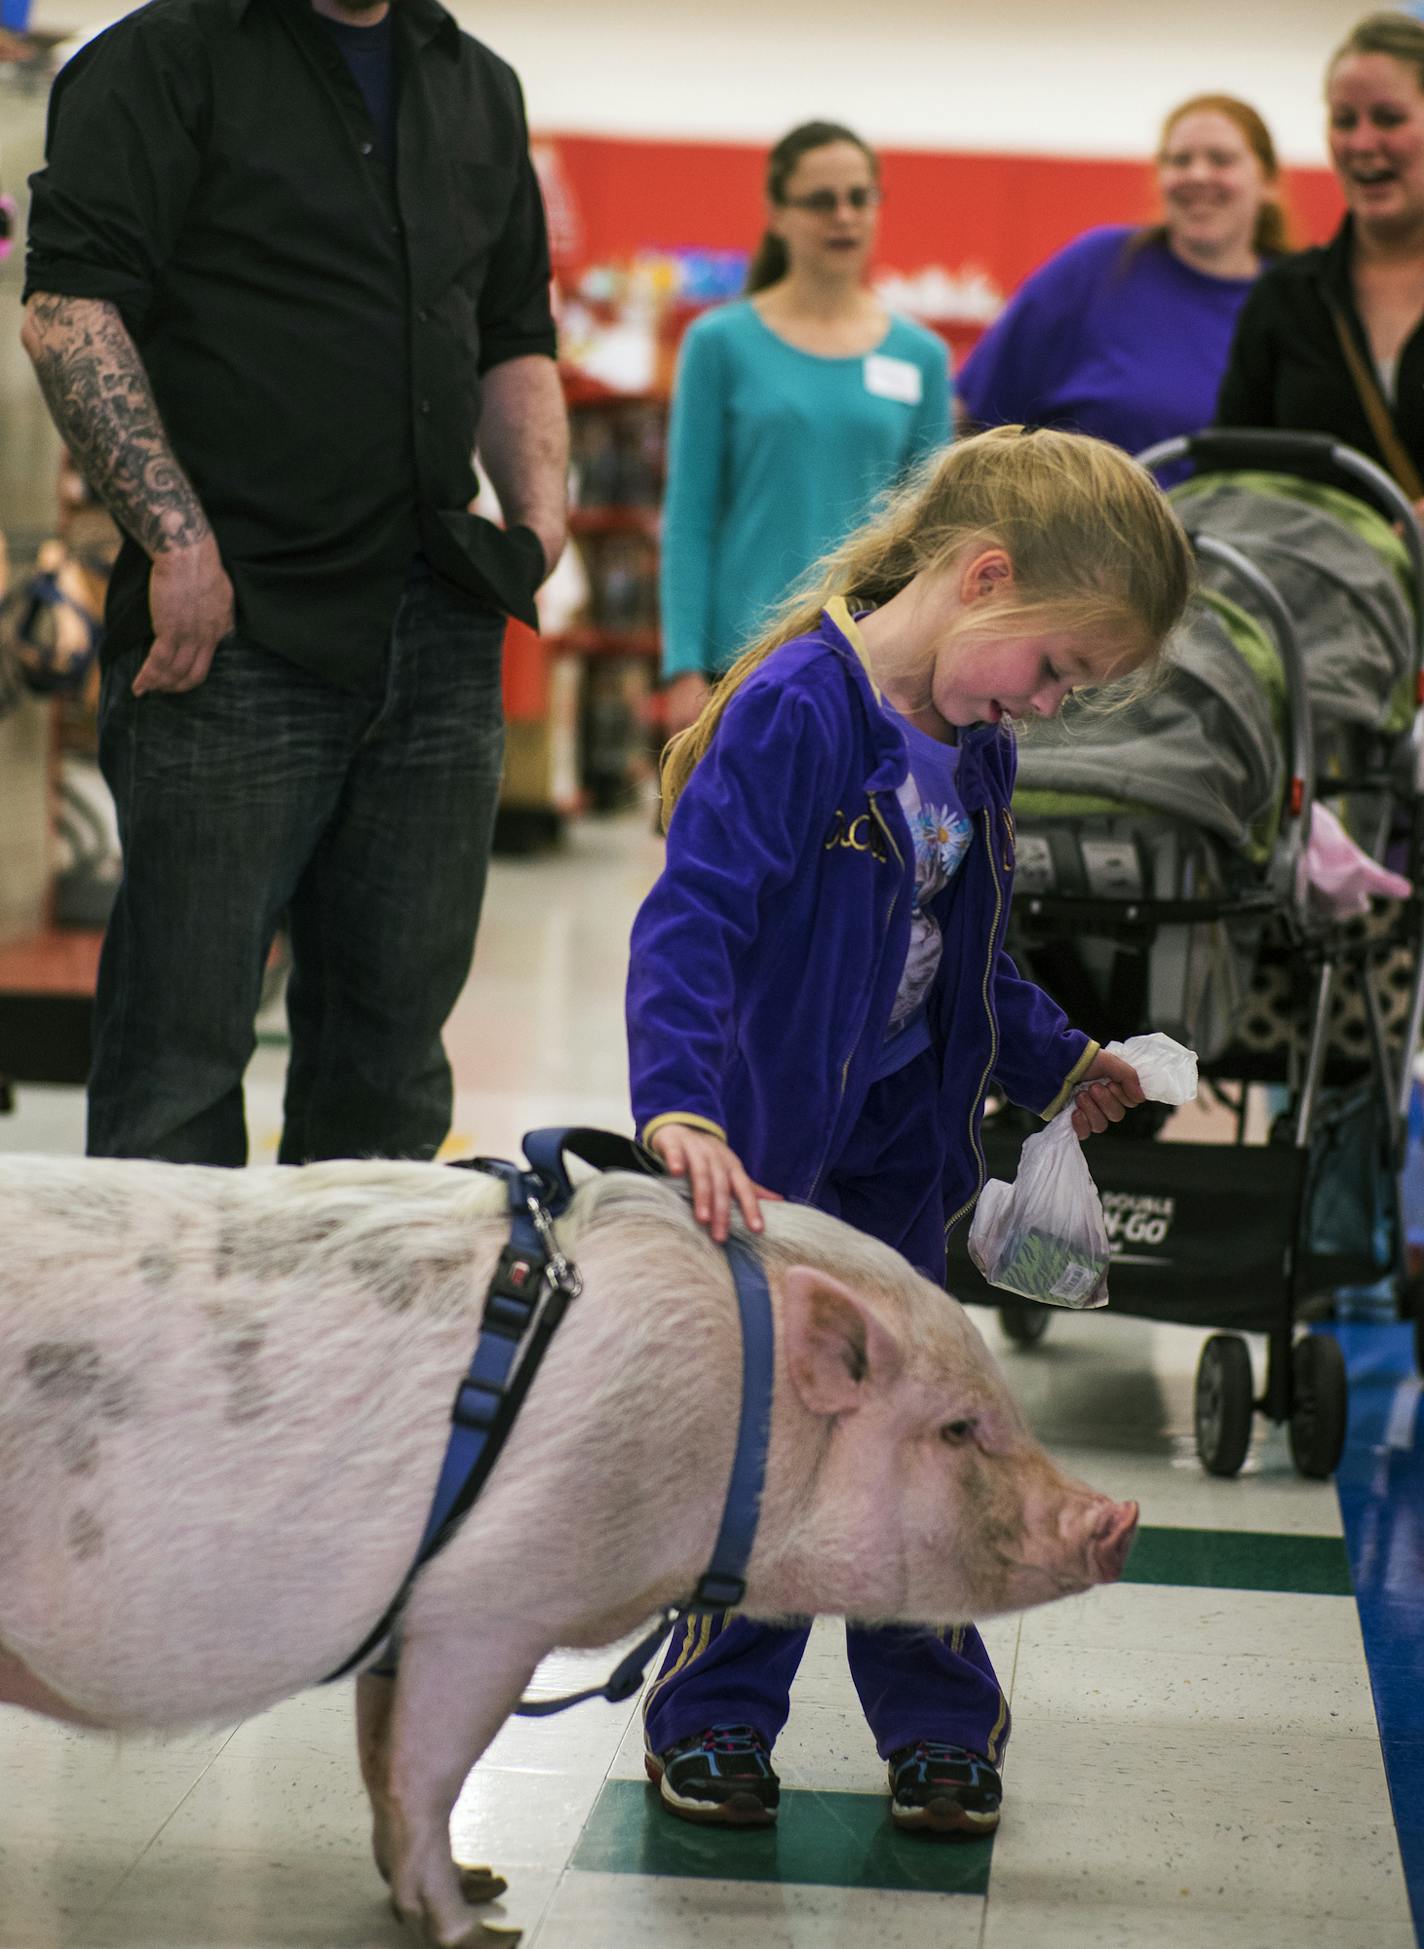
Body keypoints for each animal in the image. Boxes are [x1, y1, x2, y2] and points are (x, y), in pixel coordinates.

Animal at [0, 1146, 1137, 1941]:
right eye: (958, 1428)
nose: (1117, 1518)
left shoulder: (411, 1616)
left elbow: (378, 1754)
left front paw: (469, 1884)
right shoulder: (493, 1602)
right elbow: (428, 1769)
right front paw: (479, 1924)